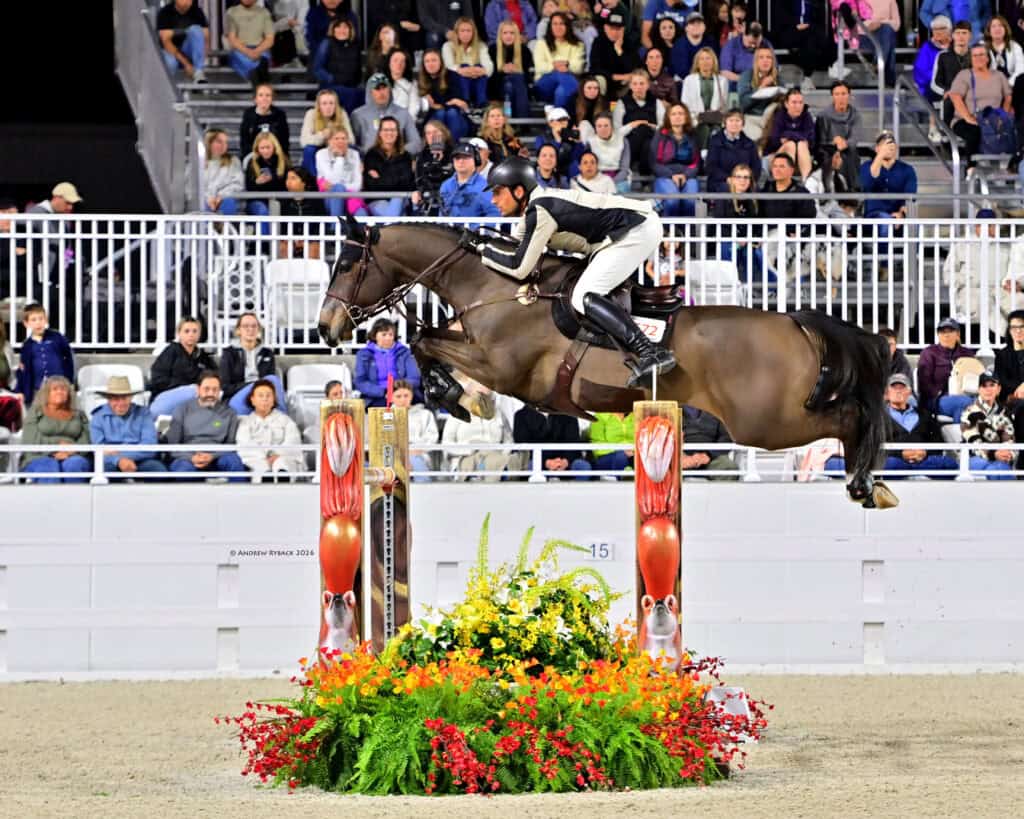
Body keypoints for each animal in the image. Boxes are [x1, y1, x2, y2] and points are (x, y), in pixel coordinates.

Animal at [319, 222, 897, 508]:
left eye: (346, 263)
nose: (325, 327)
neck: (496, 286)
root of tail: (795, 321)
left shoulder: (501, 365)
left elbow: (425, 340)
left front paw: (461, 397)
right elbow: (425, 341)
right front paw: (458, 398)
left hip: (765, 422)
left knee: (849, 417)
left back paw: (866, 482)